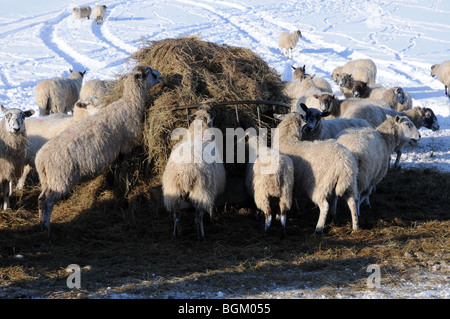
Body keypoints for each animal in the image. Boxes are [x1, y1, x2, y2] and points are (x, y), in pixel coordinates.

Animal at [35, 65, 162, 231]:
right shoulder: (126, 147)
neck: (130, 104)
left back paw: (40, 222)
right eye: (150, 73)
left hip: (47, 180)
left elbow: (117, 172)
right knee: (48, 201)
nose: (161, 76)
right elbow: (122, 172)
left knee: (41, 199)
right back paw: (46, 227)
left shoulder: (117, 152)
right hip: (60, 179)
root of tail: (41, 160)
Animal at [162, 106, 227, 241]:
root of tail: (184, 172)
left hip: (173, 192)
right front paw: (213, 218)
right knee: (198, 217)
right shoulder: (212, 188)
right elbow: (211, 206)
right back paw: (201, 236)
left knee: (176, 216)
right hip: (201, 191)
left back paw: (176, 234)